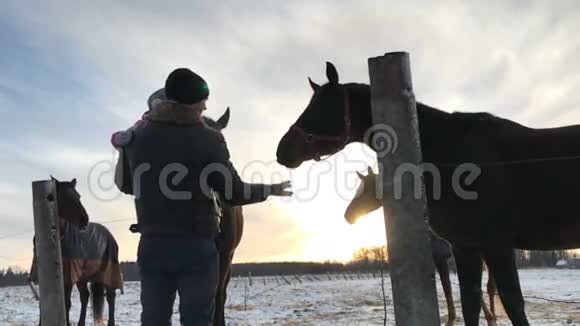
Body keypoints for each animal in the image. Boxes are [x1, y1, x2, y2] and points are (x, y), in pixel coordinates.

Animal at [30, 178, 122, 326]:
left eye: (79, 196)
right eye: (65, 197)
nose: (85, 220)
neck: (58, 239)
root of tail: (108, 234)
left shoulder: (68, 277)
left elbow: (67, 303)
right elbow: (43, 304)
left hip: (108, 272)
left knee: (110, 296)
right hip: (83, 277)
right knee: (85, 297)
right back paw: (81, 323)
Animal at [346, 167, 496, 324]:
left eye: (364, 190)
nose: (347, 215)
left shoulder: (442, 256)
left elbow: (452, 289)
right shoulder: (446, 257)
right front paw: (489, 318)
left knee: (490, 286)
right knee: (491, 286)